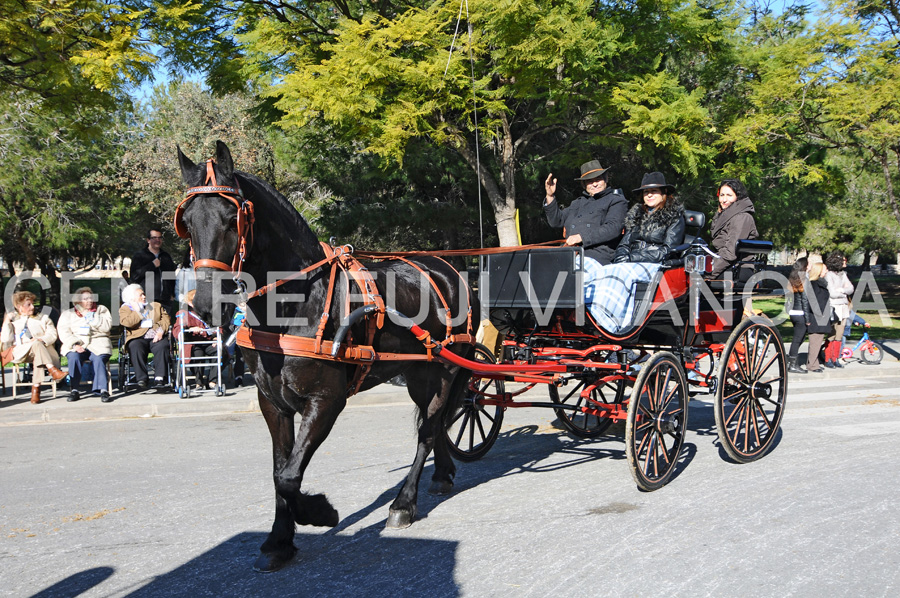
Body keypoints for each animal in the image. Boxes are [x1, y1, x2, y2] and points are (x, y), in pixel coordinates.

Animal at [175, 142, 478, 576]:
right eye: (185, 221)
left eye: (234, 218)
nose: (204, 303)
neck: (296, 302)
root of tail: (448, 269)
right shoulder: (272, 403)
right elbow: (279, 470)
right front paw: (279, 541)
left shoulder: (325, 401)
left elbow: (289, 476)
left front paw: (319, 512)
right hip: (417, 374)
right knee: (435, 426)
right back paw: (443, 473)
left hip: (442, 371)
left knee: (427, 429)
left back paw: (404, 503)